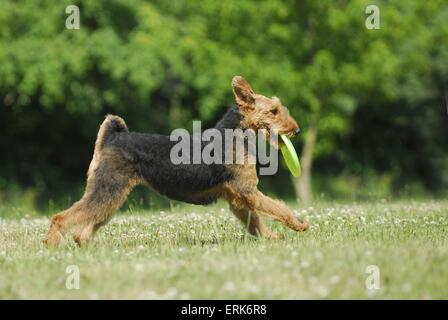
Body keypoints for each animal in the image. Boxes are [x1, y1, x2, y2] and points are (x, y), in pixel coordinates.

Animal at [43, 76, 310, 246]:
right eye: (274, 111)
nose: (296, 130)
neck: (235, 134)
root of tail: (112, 137)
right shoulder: (248, 191)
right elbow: (278, 208)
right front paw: (299, 224)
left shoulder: (238, 197)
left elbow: (256, 222)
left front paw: (273, 239)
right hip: (107, 190)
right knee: (62, 218)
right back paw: (51, 245)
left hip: (111, 196)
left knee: (84, 227)